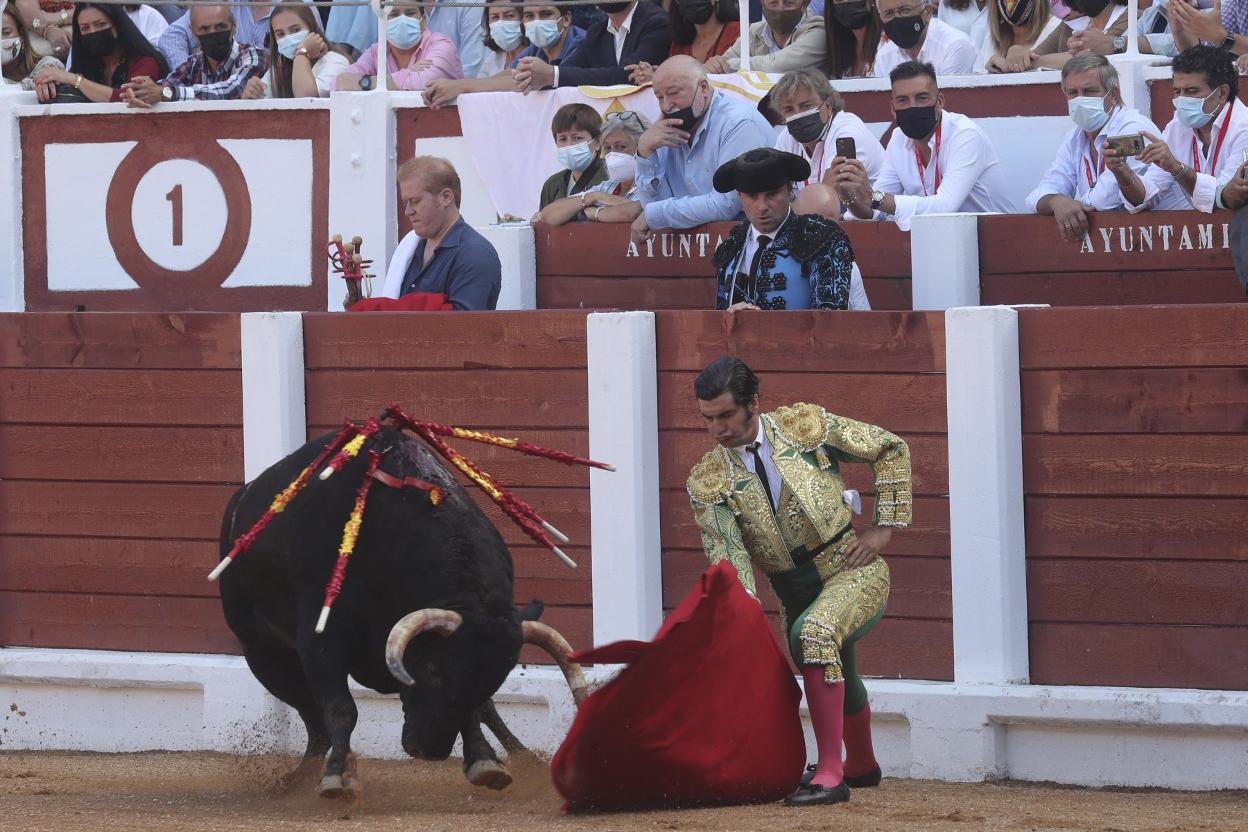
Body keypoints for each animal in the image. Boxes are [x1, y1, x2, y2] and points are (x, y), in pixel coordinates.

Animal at [218, 429, 584, 798]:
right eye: (433, 670)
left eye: (497, 678)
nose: (430, 751)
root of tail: (241, 498)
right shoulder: (320, 639)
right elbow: (340, 708)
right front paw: (337, 776)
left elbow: (479, 709)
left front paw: (484, 761)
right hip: (263, 653)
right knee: (312, 718)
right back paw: (300, 778)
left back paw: (525, 760)